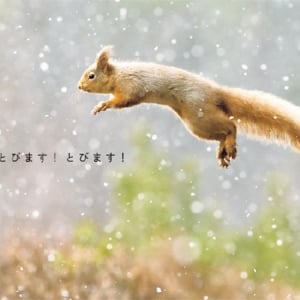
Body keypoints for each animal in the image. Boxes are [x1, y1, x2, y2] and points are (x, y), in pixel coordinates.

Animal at [77, 45, 300, 168]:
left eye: (91, 75)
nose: (79, 86)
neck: (118, 75)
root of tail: (217, 93)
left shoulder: (131, 88)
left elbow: (122, 101)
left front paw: (103, 104)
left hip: (200, 115)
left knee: (231, 126)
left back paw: (229, 145)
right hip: (197, 125)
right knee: (222, 131)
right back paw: (223, 152)